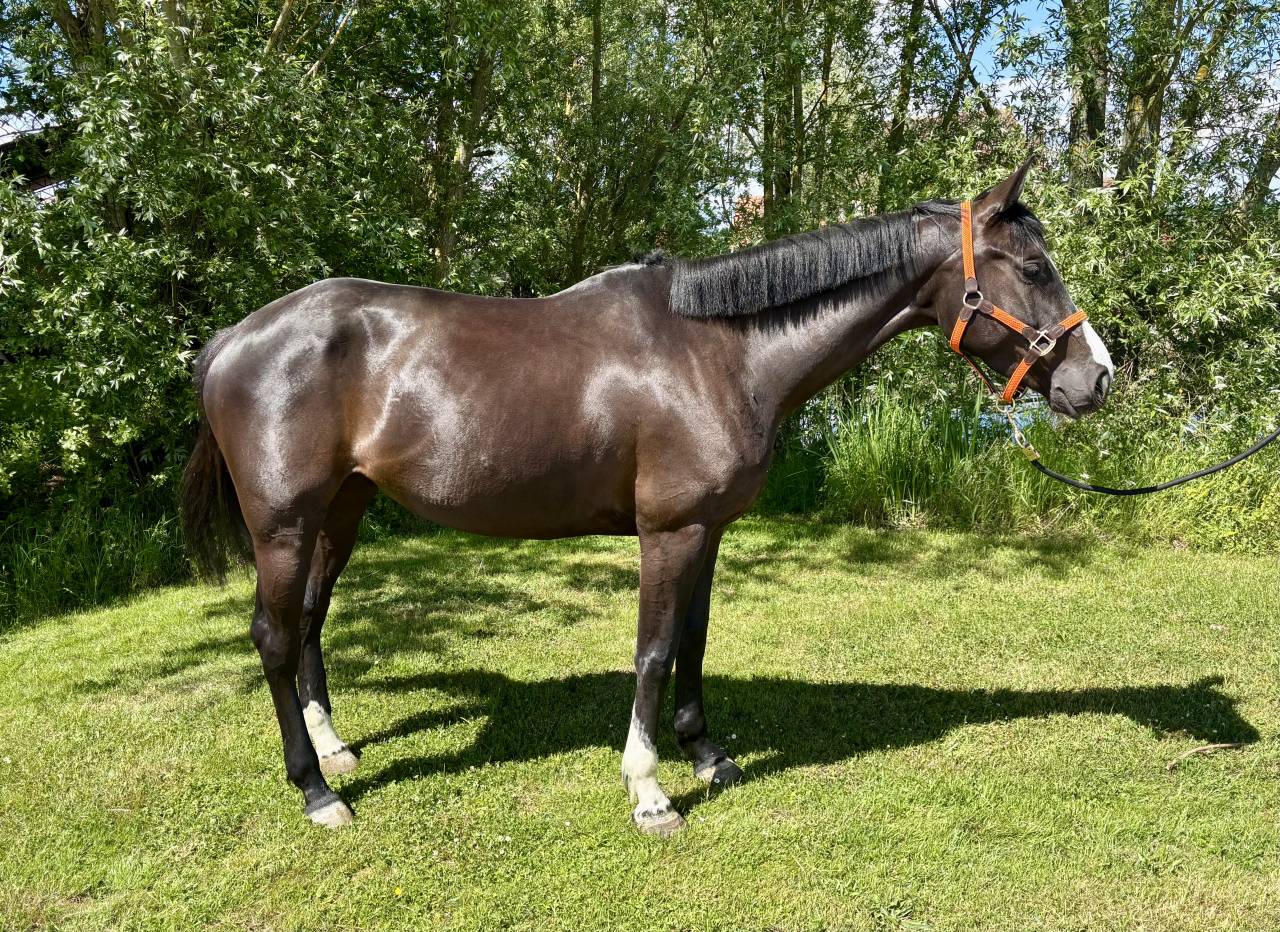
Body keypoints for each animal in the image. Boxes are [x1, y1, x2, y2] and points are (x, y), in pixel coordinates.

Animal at [180, 162, 1114, 835]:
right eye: (1034, 268)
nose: (1097, 378)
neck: (721, 351)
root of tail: (232, 338)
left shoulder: (708, 529)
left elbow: (693, 643)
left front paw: (708, 756)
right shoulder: (668, 530)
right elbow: (656, 653)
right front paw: (650, 791)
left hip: (342, 510)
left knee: (310, 620)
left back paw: (336, 751)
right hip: (285, 524)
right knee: (273, 635)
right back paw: (315, 791)